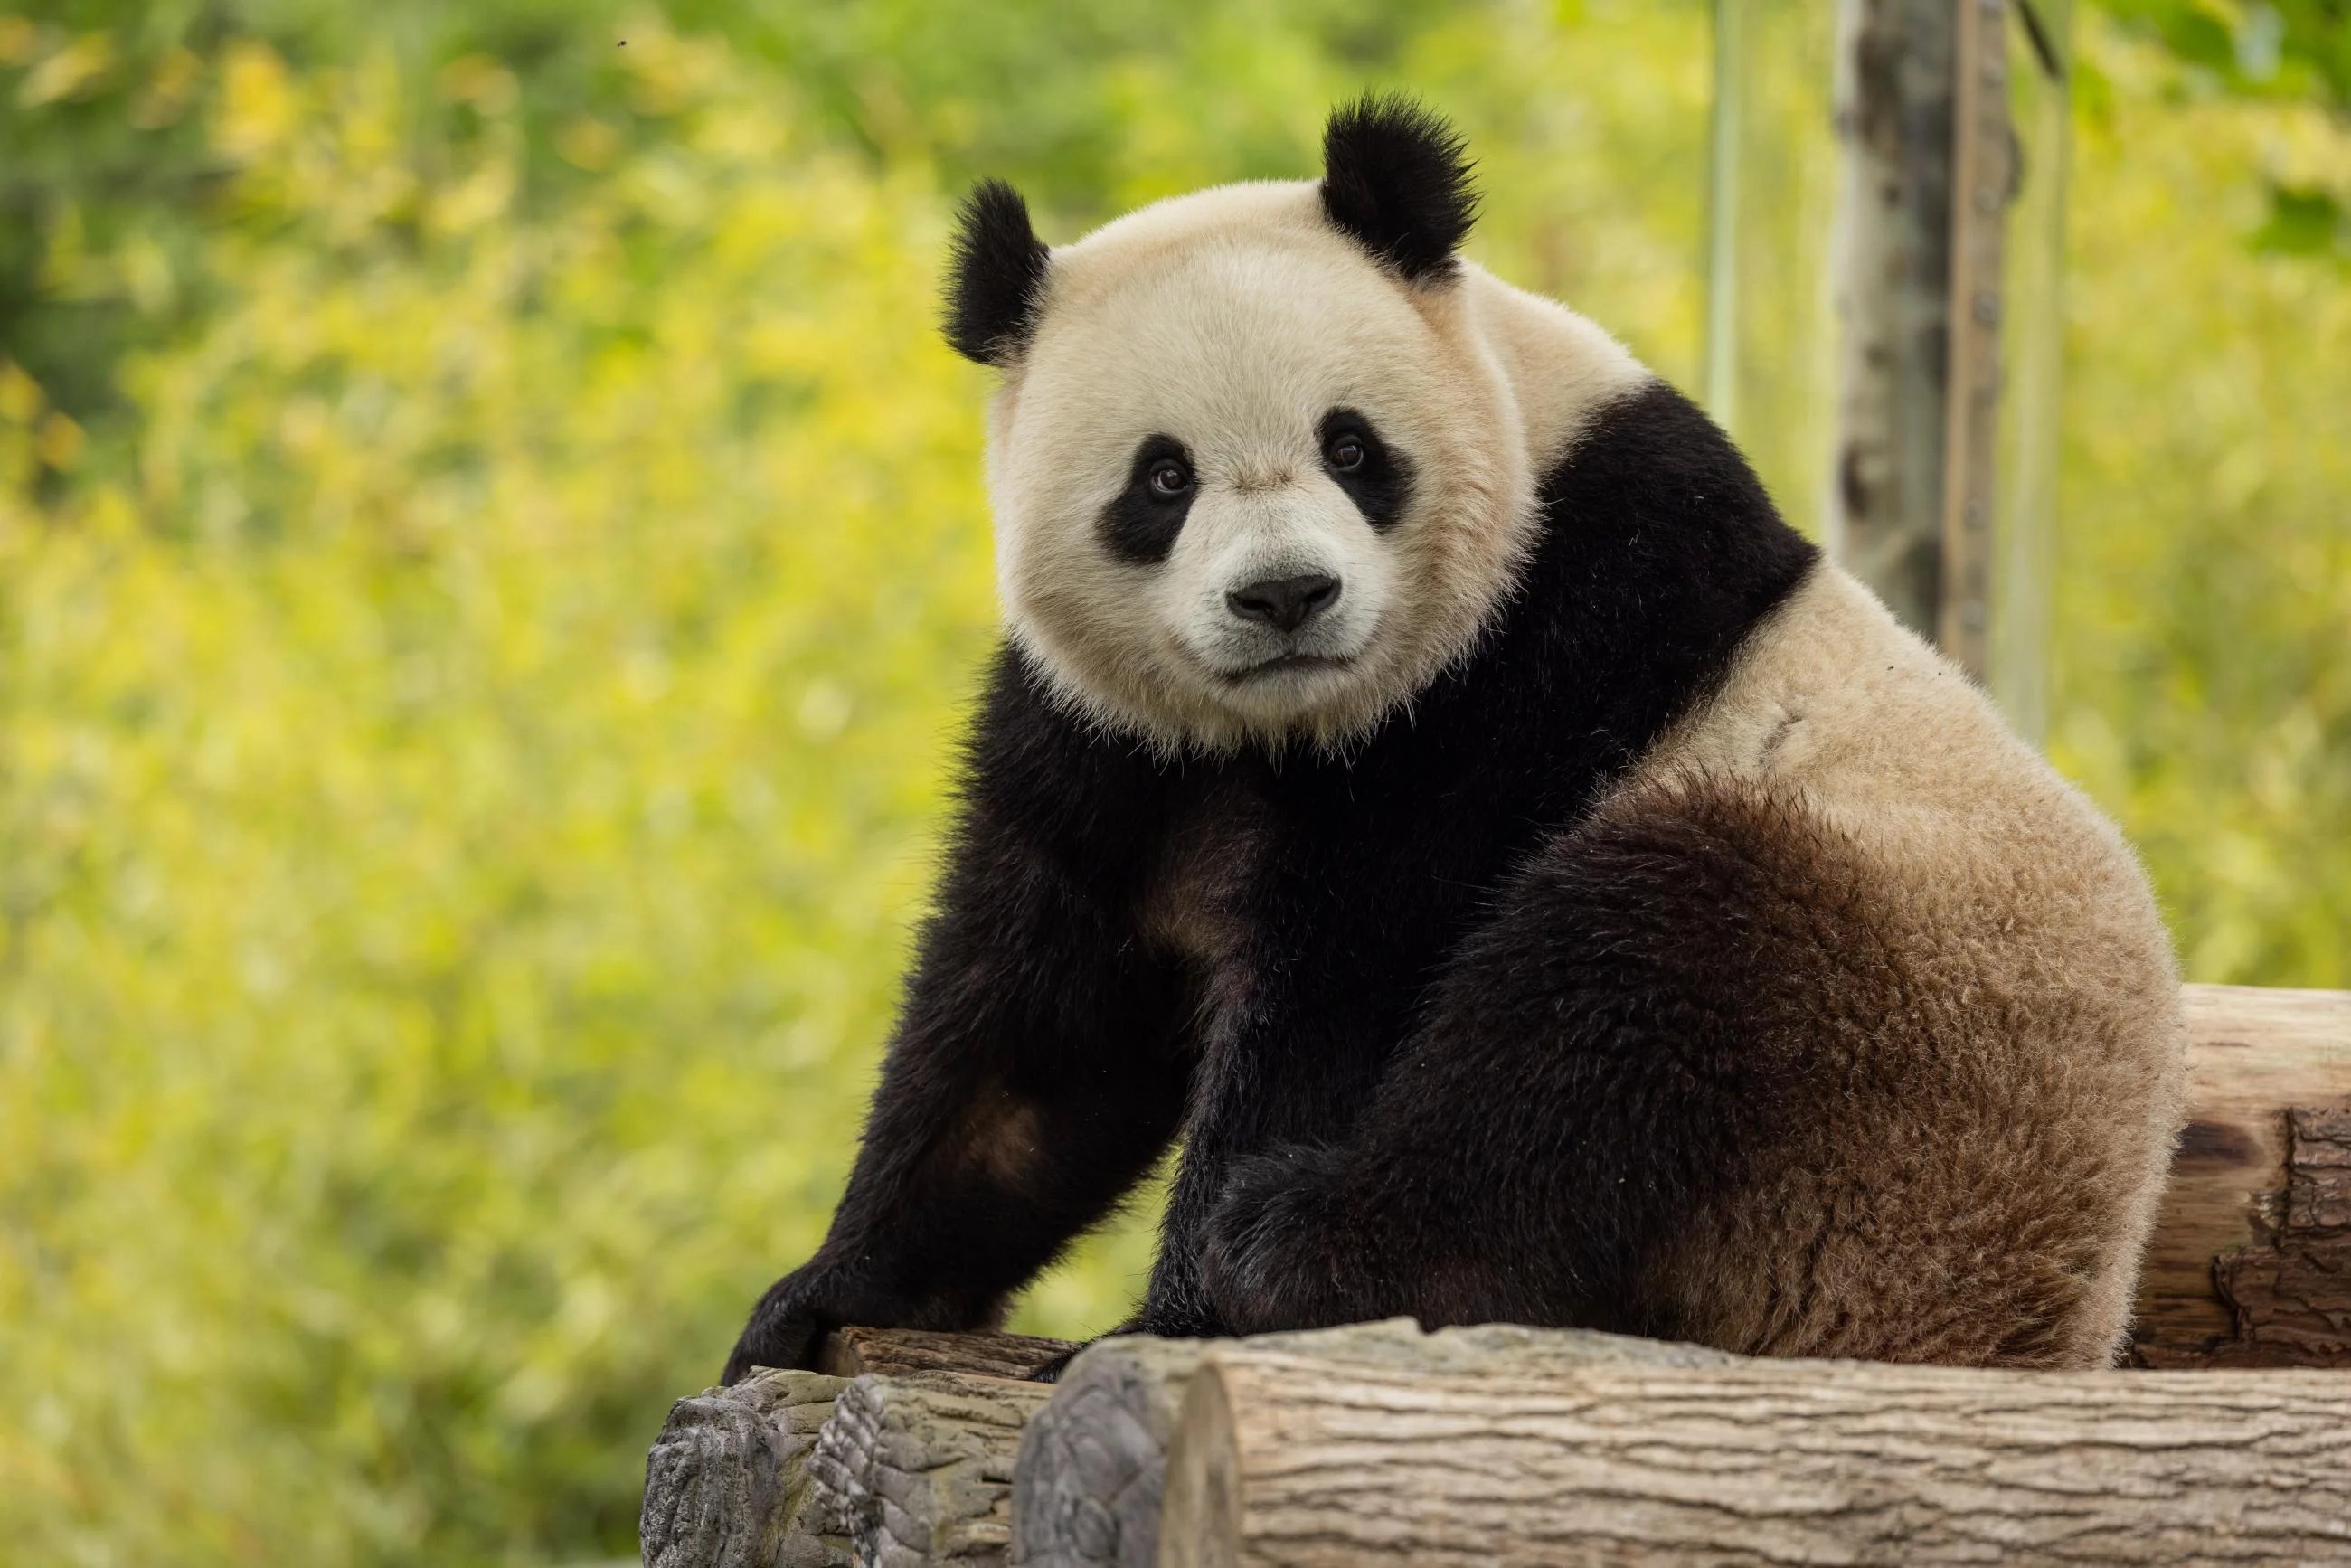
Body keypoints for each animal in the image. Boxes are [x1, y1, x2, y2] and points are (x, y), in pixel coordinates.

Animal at [719, 98, 2181, 1382]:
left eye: (1351, 447)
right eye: (1162, 477)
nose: (1285, 596)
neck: (1282, 728)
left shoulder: (1532, 651)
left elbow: (1350, 983)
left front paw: (1174, 1317)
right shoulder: (1113, 739)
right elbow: (1041, 1027)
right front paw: (823, 1295)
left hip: (1889, 1039)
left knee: (1618, 999)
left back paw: (1299, 1245)